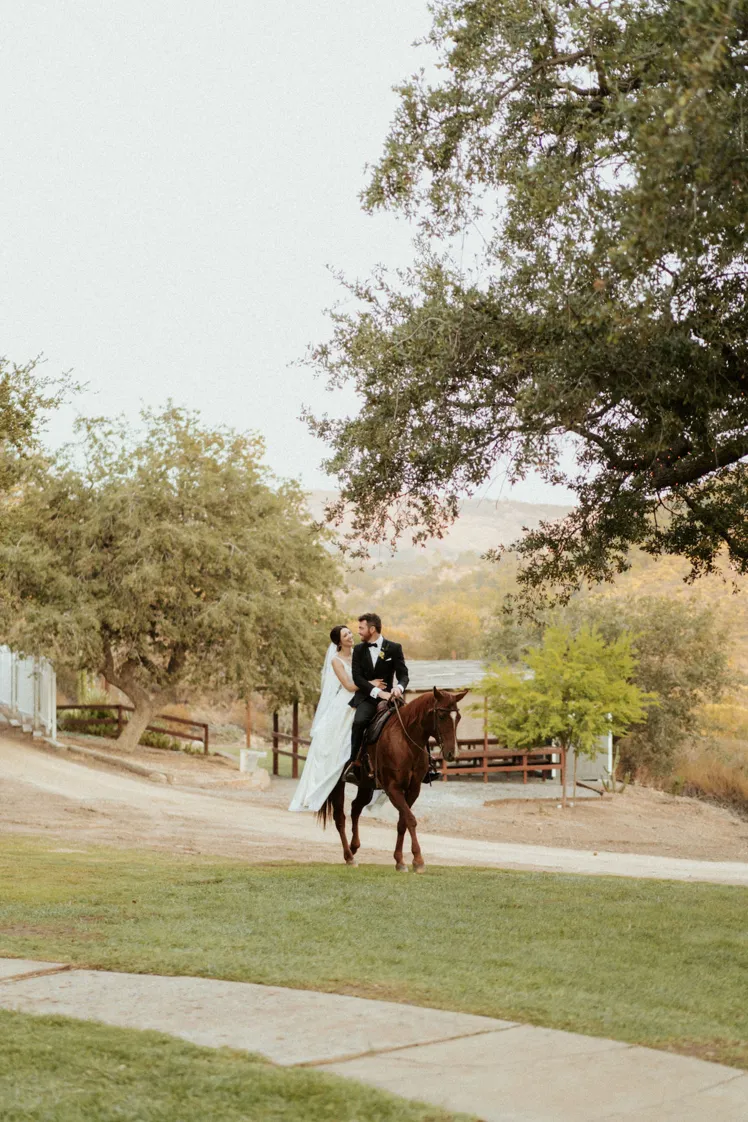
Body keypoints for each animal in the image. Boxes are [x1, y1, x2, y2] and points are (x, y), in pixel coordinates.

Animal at [316, 686, 468, 870]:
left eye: (458, 718)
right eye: (441, 716)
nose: (452, 753)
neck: (406, 741)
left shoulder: (413, 789)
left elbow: (403, 822)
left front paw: (400, 860)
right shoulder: (393, 789)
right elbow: (410, 819)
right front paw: (418, 860)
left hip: (366, 786)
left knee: (355, 808)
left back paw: (354, 847)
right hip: (337, 784)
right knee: (340, 817)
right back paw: (349, 856)